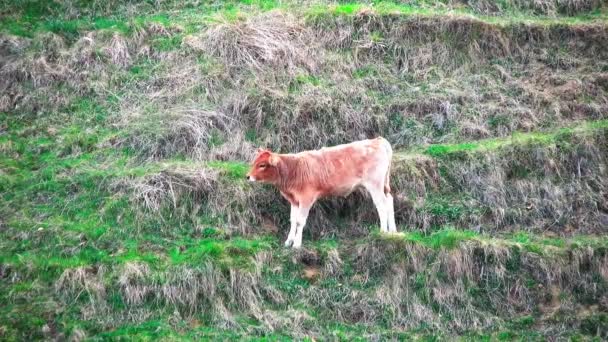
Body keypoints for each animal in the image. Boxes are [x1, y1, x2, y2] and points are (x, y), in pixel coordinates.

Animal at [247, 137, 400, 248]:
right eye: (254, 162)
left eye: (262, 165)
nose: (247, 176)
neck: (294, 169)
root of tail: (377, 140)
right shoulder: (294, 200)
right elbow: (293, 220)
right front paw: (289, 241)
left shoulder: (306, 198)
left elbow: (300, 221)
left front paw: (297, 244)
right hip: (384, 184)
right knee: (389, 200)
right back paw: (393, 231)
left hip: (375, 184)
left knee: (382, 205)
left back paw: (383, 231)